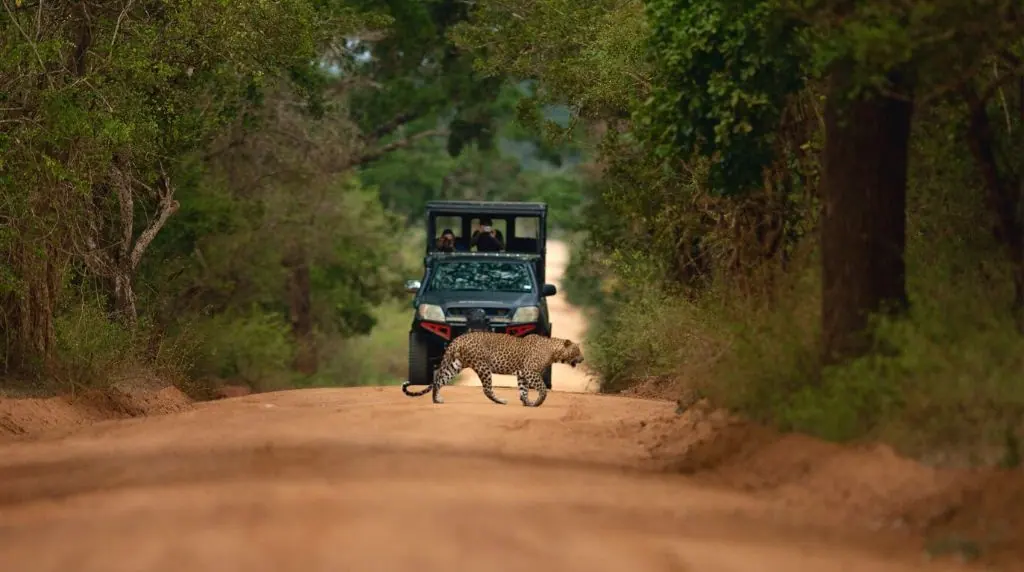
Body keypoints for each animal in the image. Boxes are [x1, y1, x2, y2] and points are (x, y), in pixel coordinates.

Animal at [401, 332, 584, 407]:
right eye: (577, 351)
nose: (582, 359)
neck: (554, 351)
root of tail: (458, 339)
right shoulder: (531, 372)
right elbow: (543, 388)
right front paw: (537, 402)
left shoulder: (523, 374)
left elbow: (523, 390)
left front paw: (527, 403)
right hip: (483, 366)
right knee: (487, 389)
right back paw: (500, 401)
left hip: (455, 365)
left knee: (439, 380)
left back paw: (436, 400)